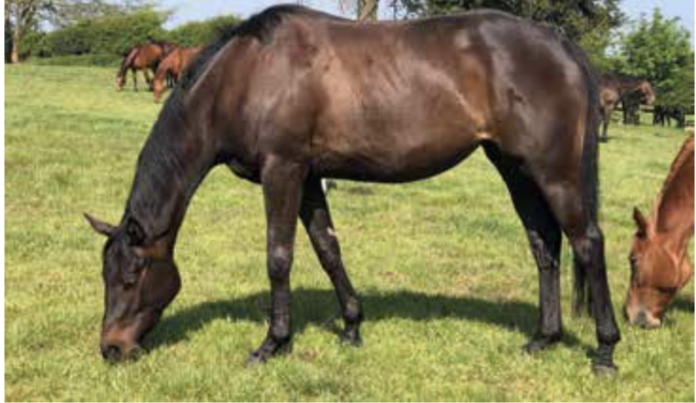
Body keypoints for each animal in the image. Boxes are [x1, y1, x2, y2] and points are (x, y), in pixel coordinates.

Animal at [85, 3, 620, 376]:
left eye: (131, 277)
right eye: (106, 275)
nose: (111, 347)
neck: (247, 74)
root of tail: (560, 44)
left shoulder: (283, 170)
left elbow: (279, 257)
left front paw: (272, 343)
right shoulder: (307, 178)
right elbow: (328, 249)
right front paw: (351, 327)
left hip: (554, 172)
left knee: (587, 244)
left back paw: (605, 350)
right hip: (515, 169)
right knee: (544, 245)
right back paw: (544, 338)